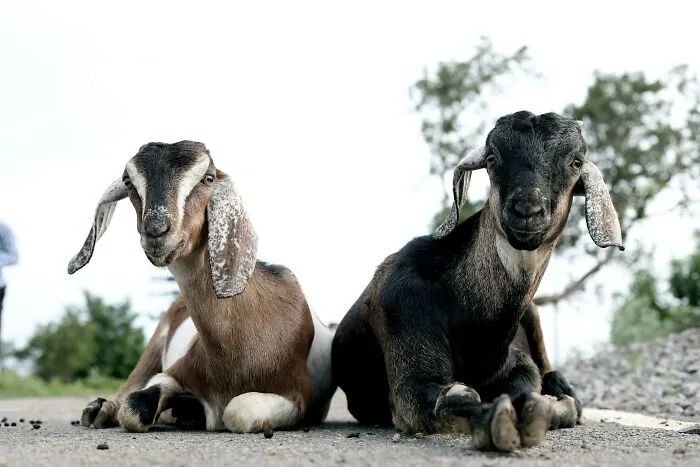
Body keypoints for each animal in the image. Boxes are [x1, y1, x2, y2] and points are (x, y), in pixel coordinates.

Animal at [68, 141, 336, 433]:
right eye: (128, 182)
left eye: (208, 178)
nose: (156, 230)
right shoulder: (175, 371)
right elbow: (133, 407)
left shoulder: (297, 395)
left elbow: (238, 411)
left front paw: (189, 409)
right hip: (154, 344)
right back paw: (101, 409)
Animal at [331, 111, 623, 452]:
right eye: (493, 158)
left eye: (576, 161)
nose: (527, 210)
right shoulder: (405, 336)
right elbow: (450, 397)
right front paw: (497, 422)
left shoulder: (516, 363)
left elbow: (529, 386)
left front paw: (546, 407)